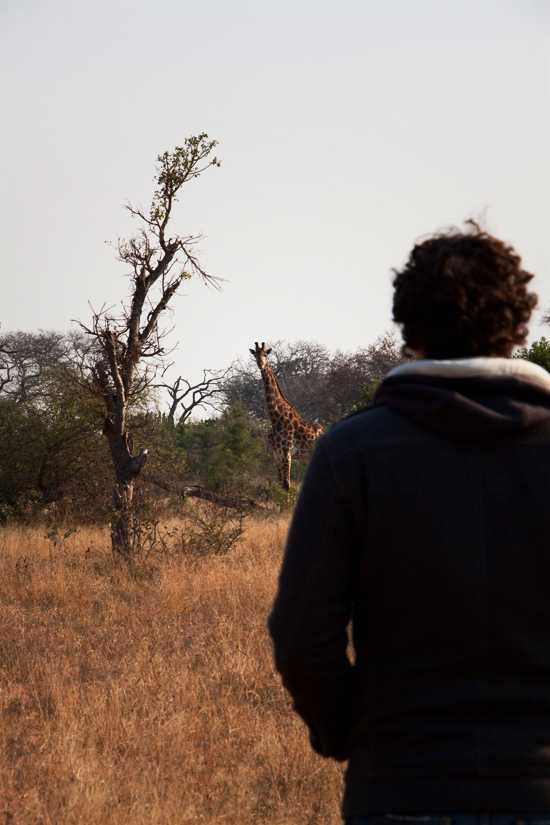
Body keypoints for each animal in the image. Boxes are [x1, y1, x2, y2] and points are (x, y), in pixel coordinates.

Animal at [250, 341, 324, 490]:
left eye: (265, 354)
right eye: (255, 355)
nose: (260, 364)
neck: (276, 418)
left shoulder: (286, 453)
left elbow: (286, 485)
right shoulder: (276, 454)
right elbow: (280, 484)